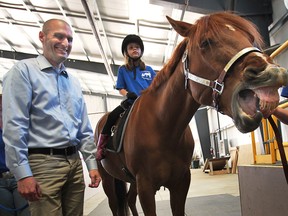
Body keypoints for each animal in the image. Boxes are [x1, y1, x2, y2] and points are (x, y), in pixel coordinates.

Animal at [95, 12, 288, 216]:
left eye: (250, 38)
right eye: (205, 42)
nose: (272, 72)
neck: (162, 128)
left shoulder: (180, 183)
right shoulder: (146, 187)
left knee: (129, 200)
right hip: (109, 180)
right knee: (116, 205)